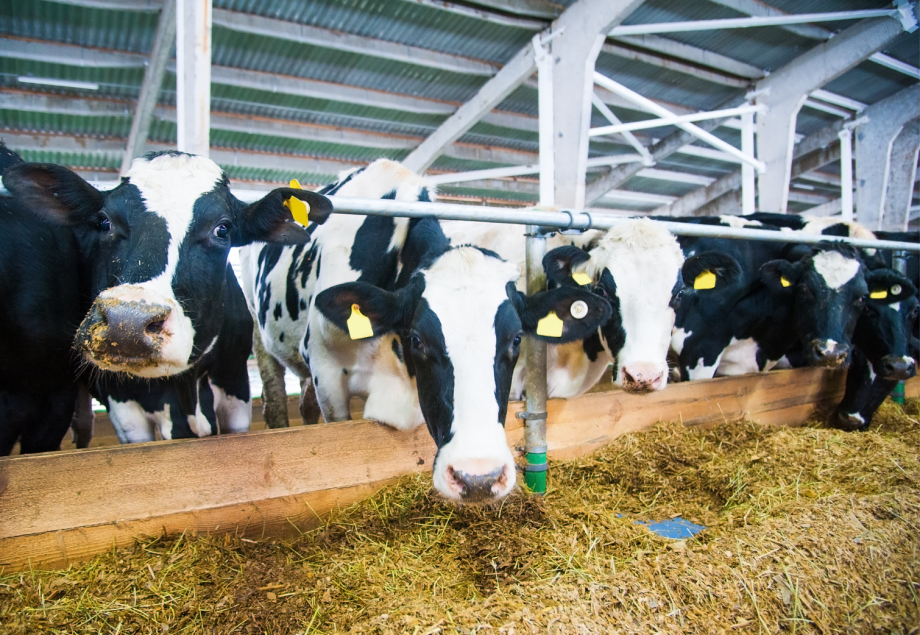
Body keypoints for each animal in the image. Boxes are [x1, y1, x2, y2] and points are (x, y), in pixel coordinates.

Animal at [1, 150, 332, 453]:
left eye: (222, 228)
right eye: (105, 222)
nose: (127, 324)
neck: (187, 387)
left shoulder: (234, 387)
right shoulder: (122, 407)